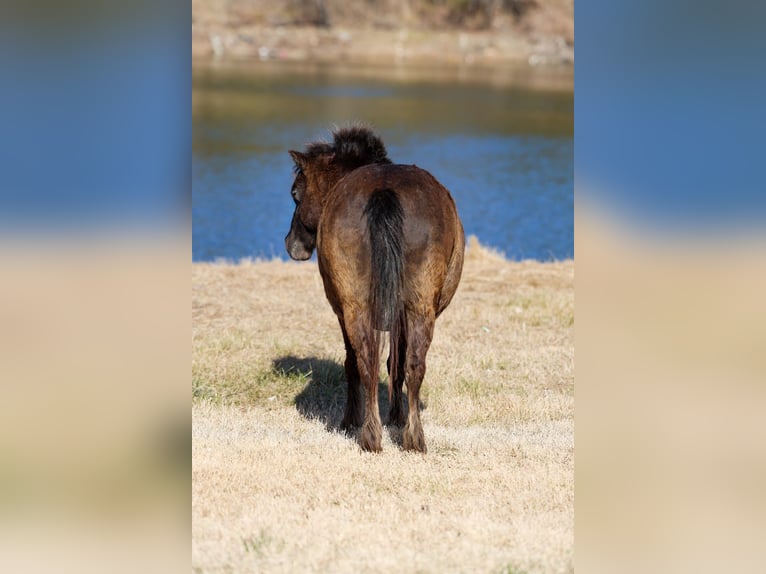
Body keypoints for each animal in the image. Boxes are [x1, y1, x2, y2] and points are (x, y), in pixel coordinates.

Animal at [285, 125, 464, 453]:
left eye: (295, 193)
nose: (292, 244)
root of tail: (384, 190)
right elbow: (397, 363)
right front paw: (396, 417)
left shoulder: (342, 311)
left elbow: (355, 363)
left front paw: (352, 420)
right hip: (418, 308)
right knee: (413, 363)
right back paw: (412, 439)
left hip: (355, 307)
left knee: (364, 361)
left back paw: (368, 436)